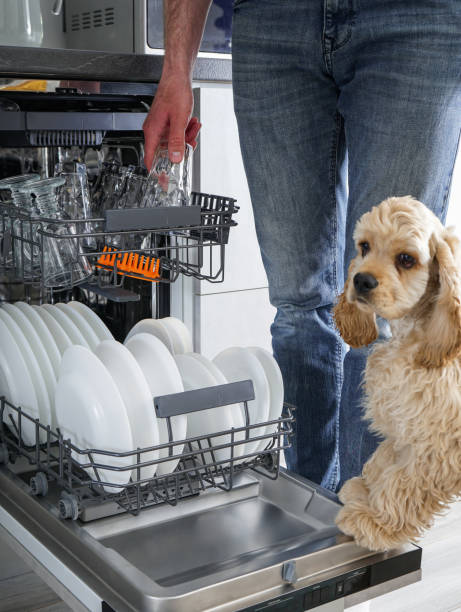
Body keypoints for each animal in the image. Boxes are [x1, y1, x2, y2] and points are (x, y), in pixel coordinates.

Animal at [332, 198, 460, 552]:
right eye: (364, 246)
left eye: (406, 259)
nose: (361, 281)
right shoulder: (407, 416)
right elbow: (385, 458)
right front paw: (365, 490)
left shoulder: (439, 443)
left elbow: (405, 482)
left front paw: (376, 523)